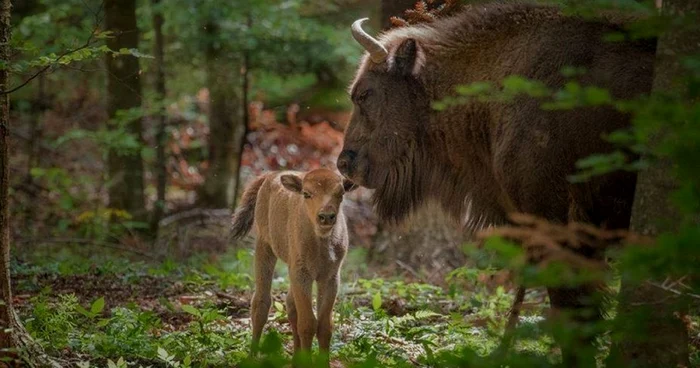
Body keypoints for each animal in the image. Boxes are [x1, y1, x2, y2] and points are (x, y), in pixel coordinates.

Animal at [232, 169, 358, 362]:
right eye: (307, 193)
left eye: (341, 193)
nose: (326, 217)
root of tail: (271, 175)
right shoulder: (302, 275)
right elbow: (307, 324)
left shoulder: (329, 278)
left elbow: (324, 326)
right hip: (264, 246)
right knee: (261, 303)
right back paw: (252, 356)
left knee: (290, 306)